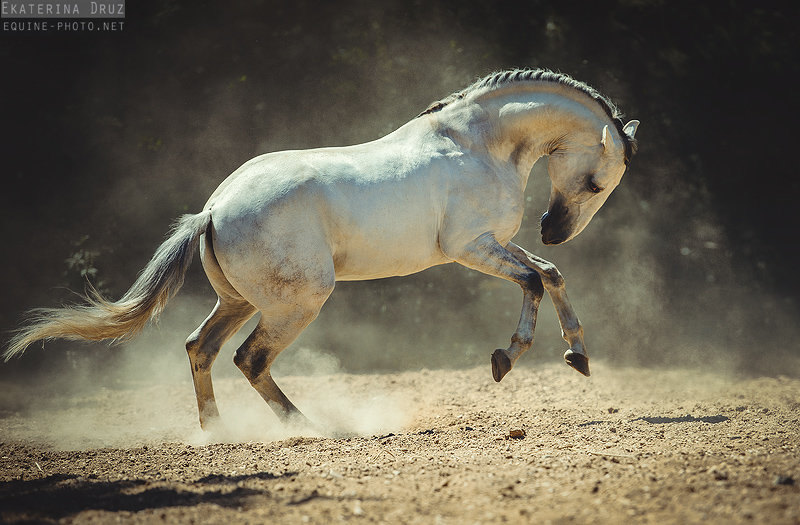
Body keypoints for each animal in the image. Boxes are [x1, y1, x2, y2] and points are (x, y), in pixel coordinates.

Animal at [0, 69, 636, 430]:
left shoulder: (497, 244)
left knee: (201, 348)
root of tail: (214, 208)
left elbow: (550, 274)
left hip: (242, 301)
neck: (478, 145)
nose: (553, 228)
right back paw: (307, 427)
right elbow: (534, 280)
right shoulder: (472, 247)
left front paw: (577, 357)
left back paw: (217, 433)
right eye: (598, 183)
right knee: (249, 359)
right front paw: (506, 358)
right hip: (298, 302)